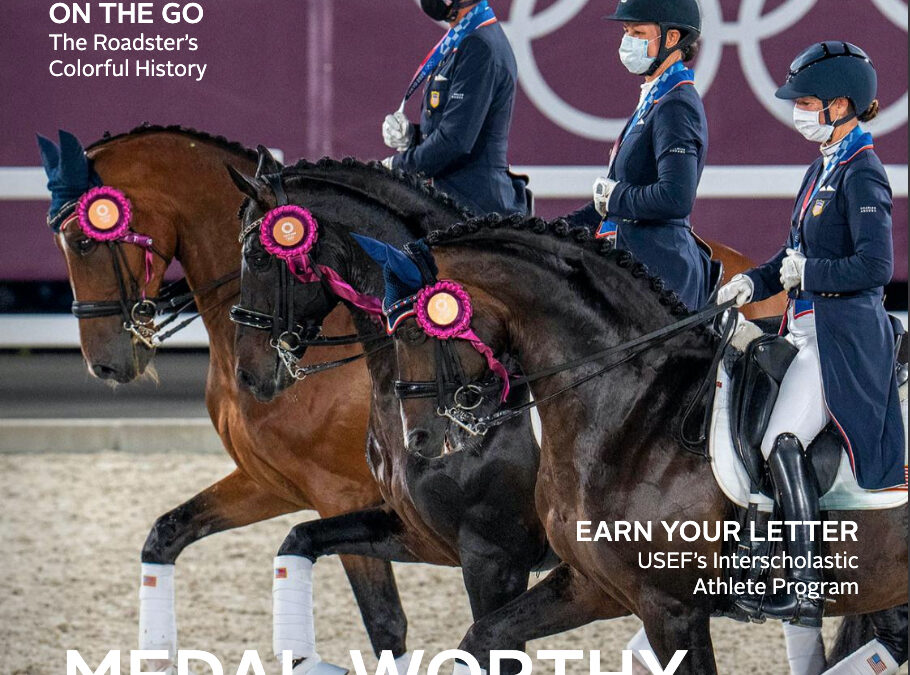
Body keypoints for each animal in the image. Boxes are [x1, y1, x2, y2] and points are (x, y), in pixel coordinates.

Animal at [388, 217, 908, 675]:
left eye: (414, 330)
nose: (418, 438)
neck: (631, 407)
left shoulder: (671, 608)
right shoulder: (592, 585)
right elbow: (484, 637)